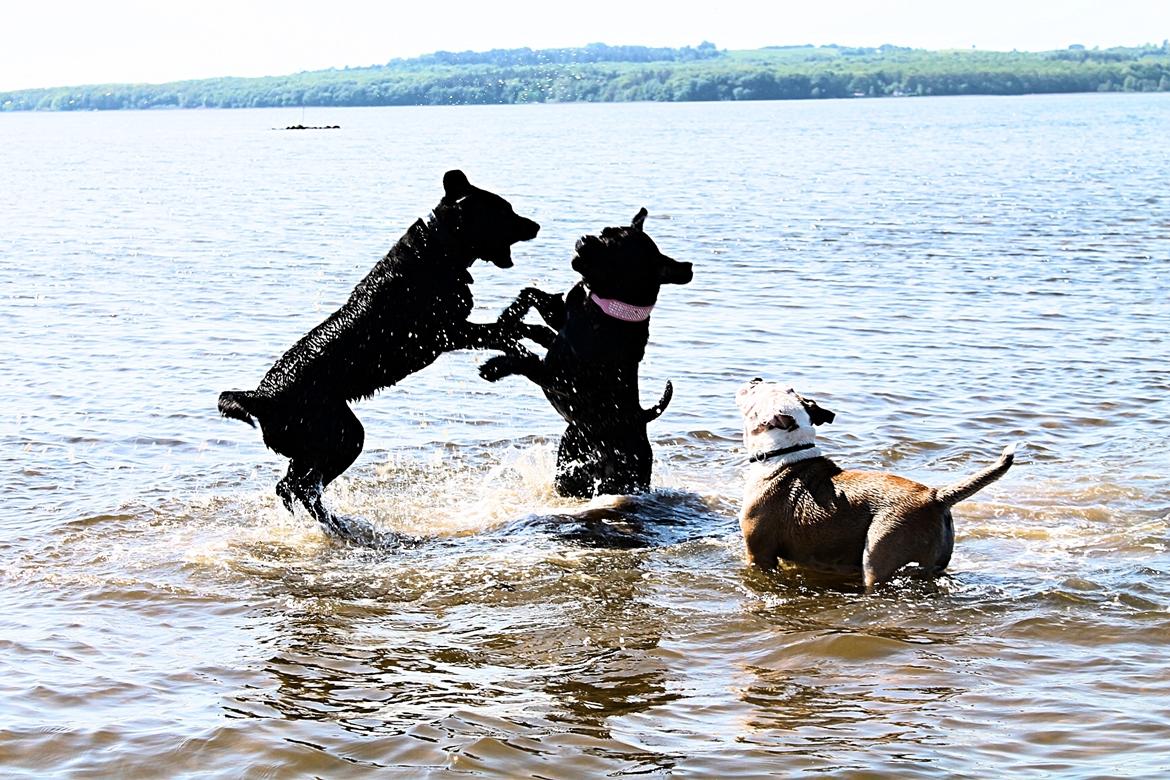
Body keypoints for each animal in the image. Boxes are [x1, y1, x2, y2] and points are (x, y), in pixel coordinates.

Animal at [219, 171, 538, 537]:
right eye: (504, 211)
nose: (536, 225)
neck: (440, 250)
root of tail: (260, 397)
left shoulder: (452, 333)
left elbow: (509, 324)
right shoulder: (448, 332)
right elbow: (503, 330)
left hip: (316, 445)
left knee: (290, 487)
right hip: (343, 436)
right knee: (300, 488)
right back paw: (336, 527)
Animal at [477, 210, 687, 498]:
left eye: (616, 248)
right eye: (604, 232)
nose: (585, 238)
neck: (607, 310)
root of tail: (641, 417)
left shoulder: (560, 377)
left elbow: (526, 359)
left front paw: (496, 366)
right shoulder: (558, 331)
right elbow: (533, 303)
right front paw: (508, 319)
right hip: (568, 458)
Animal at [739, 378, 1015, 591]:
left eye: (757, 390)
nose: (755, 378)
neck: (785, 451)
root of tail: (935, 496)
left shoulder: (759, 555)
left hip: (879, 556)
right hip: (932, 564)